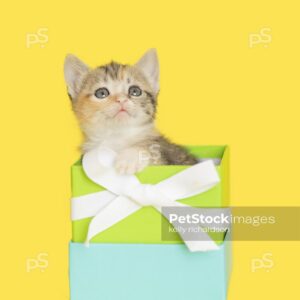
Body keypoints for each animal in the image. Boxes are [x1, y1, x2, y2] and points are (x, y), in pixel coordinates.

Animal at [63, 49, 197, 173]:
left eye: (135, 91)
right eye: (101, 93)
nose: (121, 100)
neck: (118, 137)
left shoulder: (164, 157)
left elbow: (149, 149)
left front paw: (129, 158)